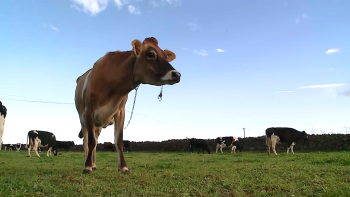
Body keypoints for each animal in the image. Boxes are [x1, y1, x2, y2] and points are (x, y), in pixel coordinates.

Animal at [75, 36, 182, 174]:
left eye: (165, 56)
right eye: (151, 54)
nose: (177, 74)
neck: (114, 88)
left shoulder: (120, 112)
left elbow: (119, 141)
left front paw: (123, 167)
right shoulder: (89, 111)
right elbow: (91, 142)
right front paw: (87, 167)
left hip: (97, 124)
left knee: (96, 140)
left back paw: (94, 164)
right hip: (83, 118)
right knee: (86, 141)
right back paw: (89, 164)